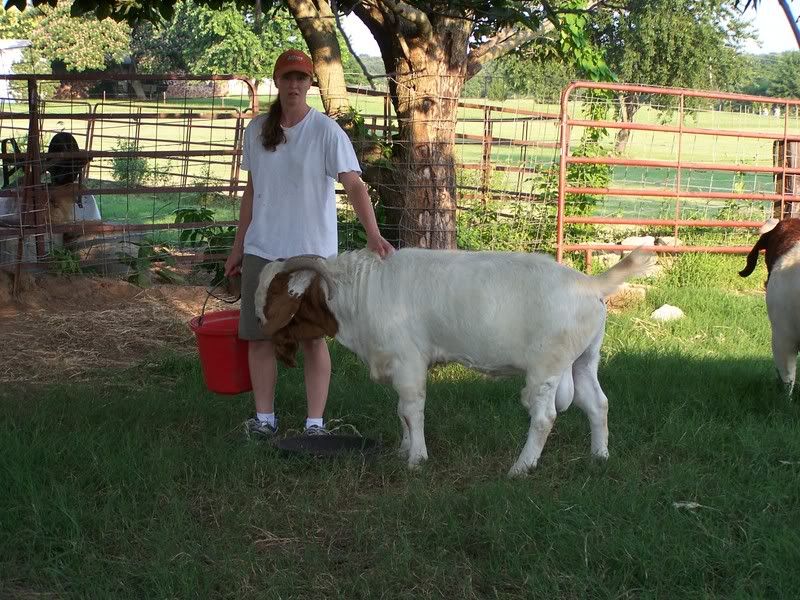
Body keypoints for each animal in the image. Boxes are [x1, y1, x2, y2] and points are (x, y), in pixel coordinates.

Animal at [255, 247, 653, 476]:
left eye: (276, 292)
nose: (257, 323)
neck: (361, 289)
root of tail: (590, 284)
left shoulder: (409, 361)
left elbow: (412, 409)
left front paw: (417, 458)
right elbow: (401, 411)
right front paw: (403, 449)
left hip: (546, 369)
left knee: (544, 417)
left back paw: (520, 468)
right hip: (584, 360)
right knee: (597, 403)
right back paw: (599, 457)